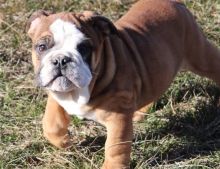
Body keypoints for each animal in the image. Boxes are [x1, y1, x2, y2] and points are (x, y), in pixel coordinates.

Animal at [26, 0, 220, 168]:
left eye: (84, 48)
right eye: (42, 47)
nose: (61, 60)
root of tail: (176, 3)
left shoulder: (118, 118)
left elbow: (115, 147)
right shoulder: (57, 94)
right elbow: (51, 124)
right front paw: (65, 142)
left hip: (199, 55)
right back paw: (140, 112)